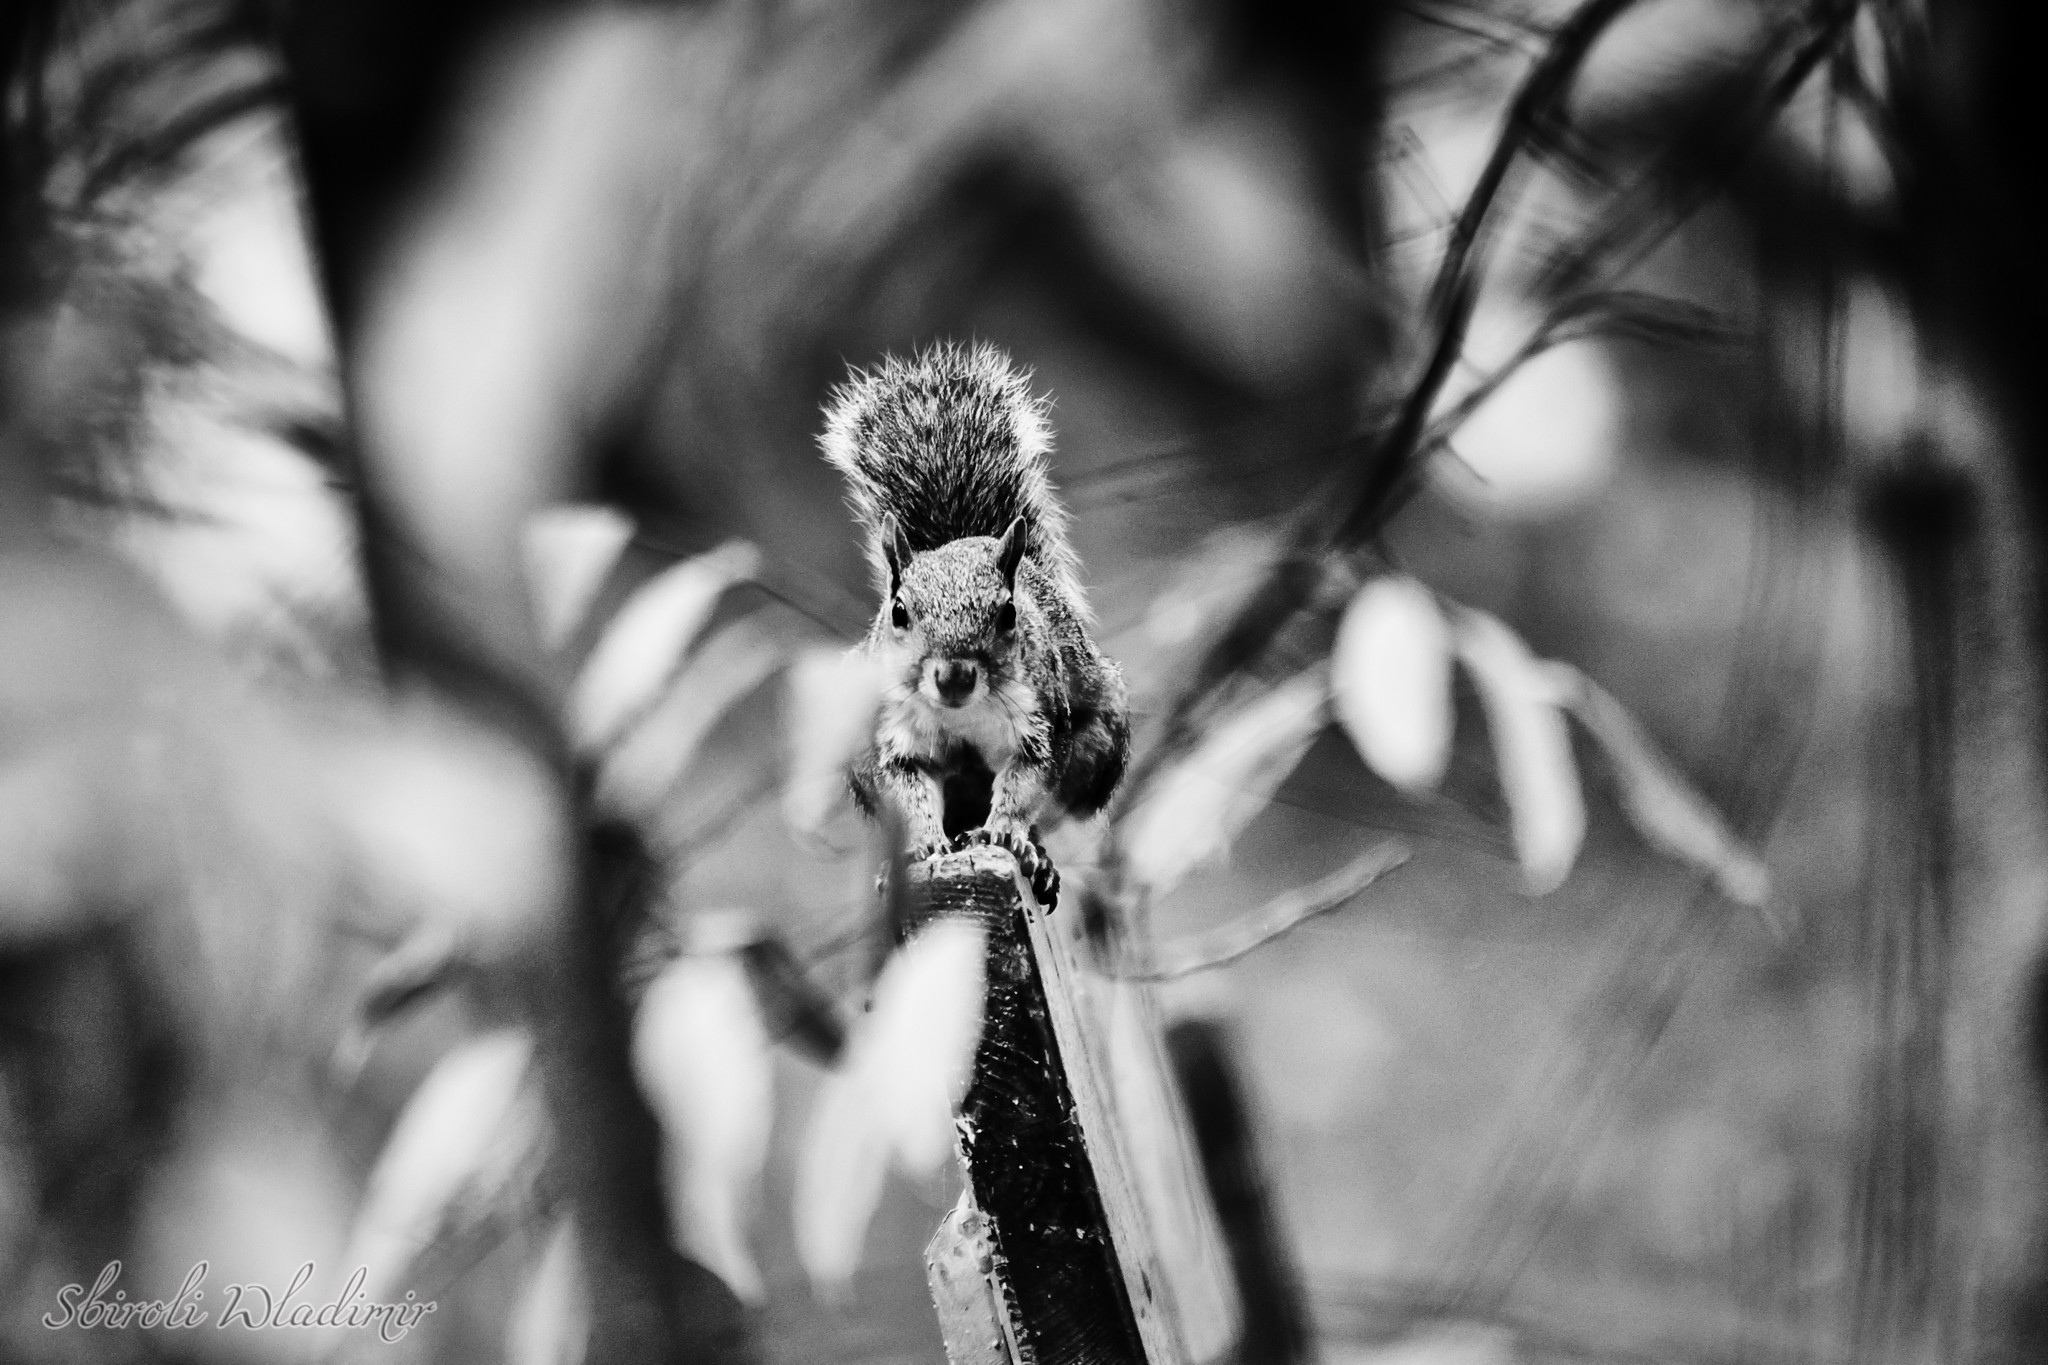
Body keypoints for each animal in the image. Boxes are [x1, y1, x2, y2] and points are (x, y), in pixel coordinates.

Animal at [820, 341, 1130, 908]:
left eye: (1008, 614)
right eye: (898, 612)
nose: (954, 677)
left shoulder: (1042, 723)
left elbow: (1025, 785)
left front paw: (1007, 834)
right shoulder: (894, 735)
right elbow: (909, 790)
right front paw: (922, 845)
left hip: (1099, 743)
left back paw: (1032, 855)